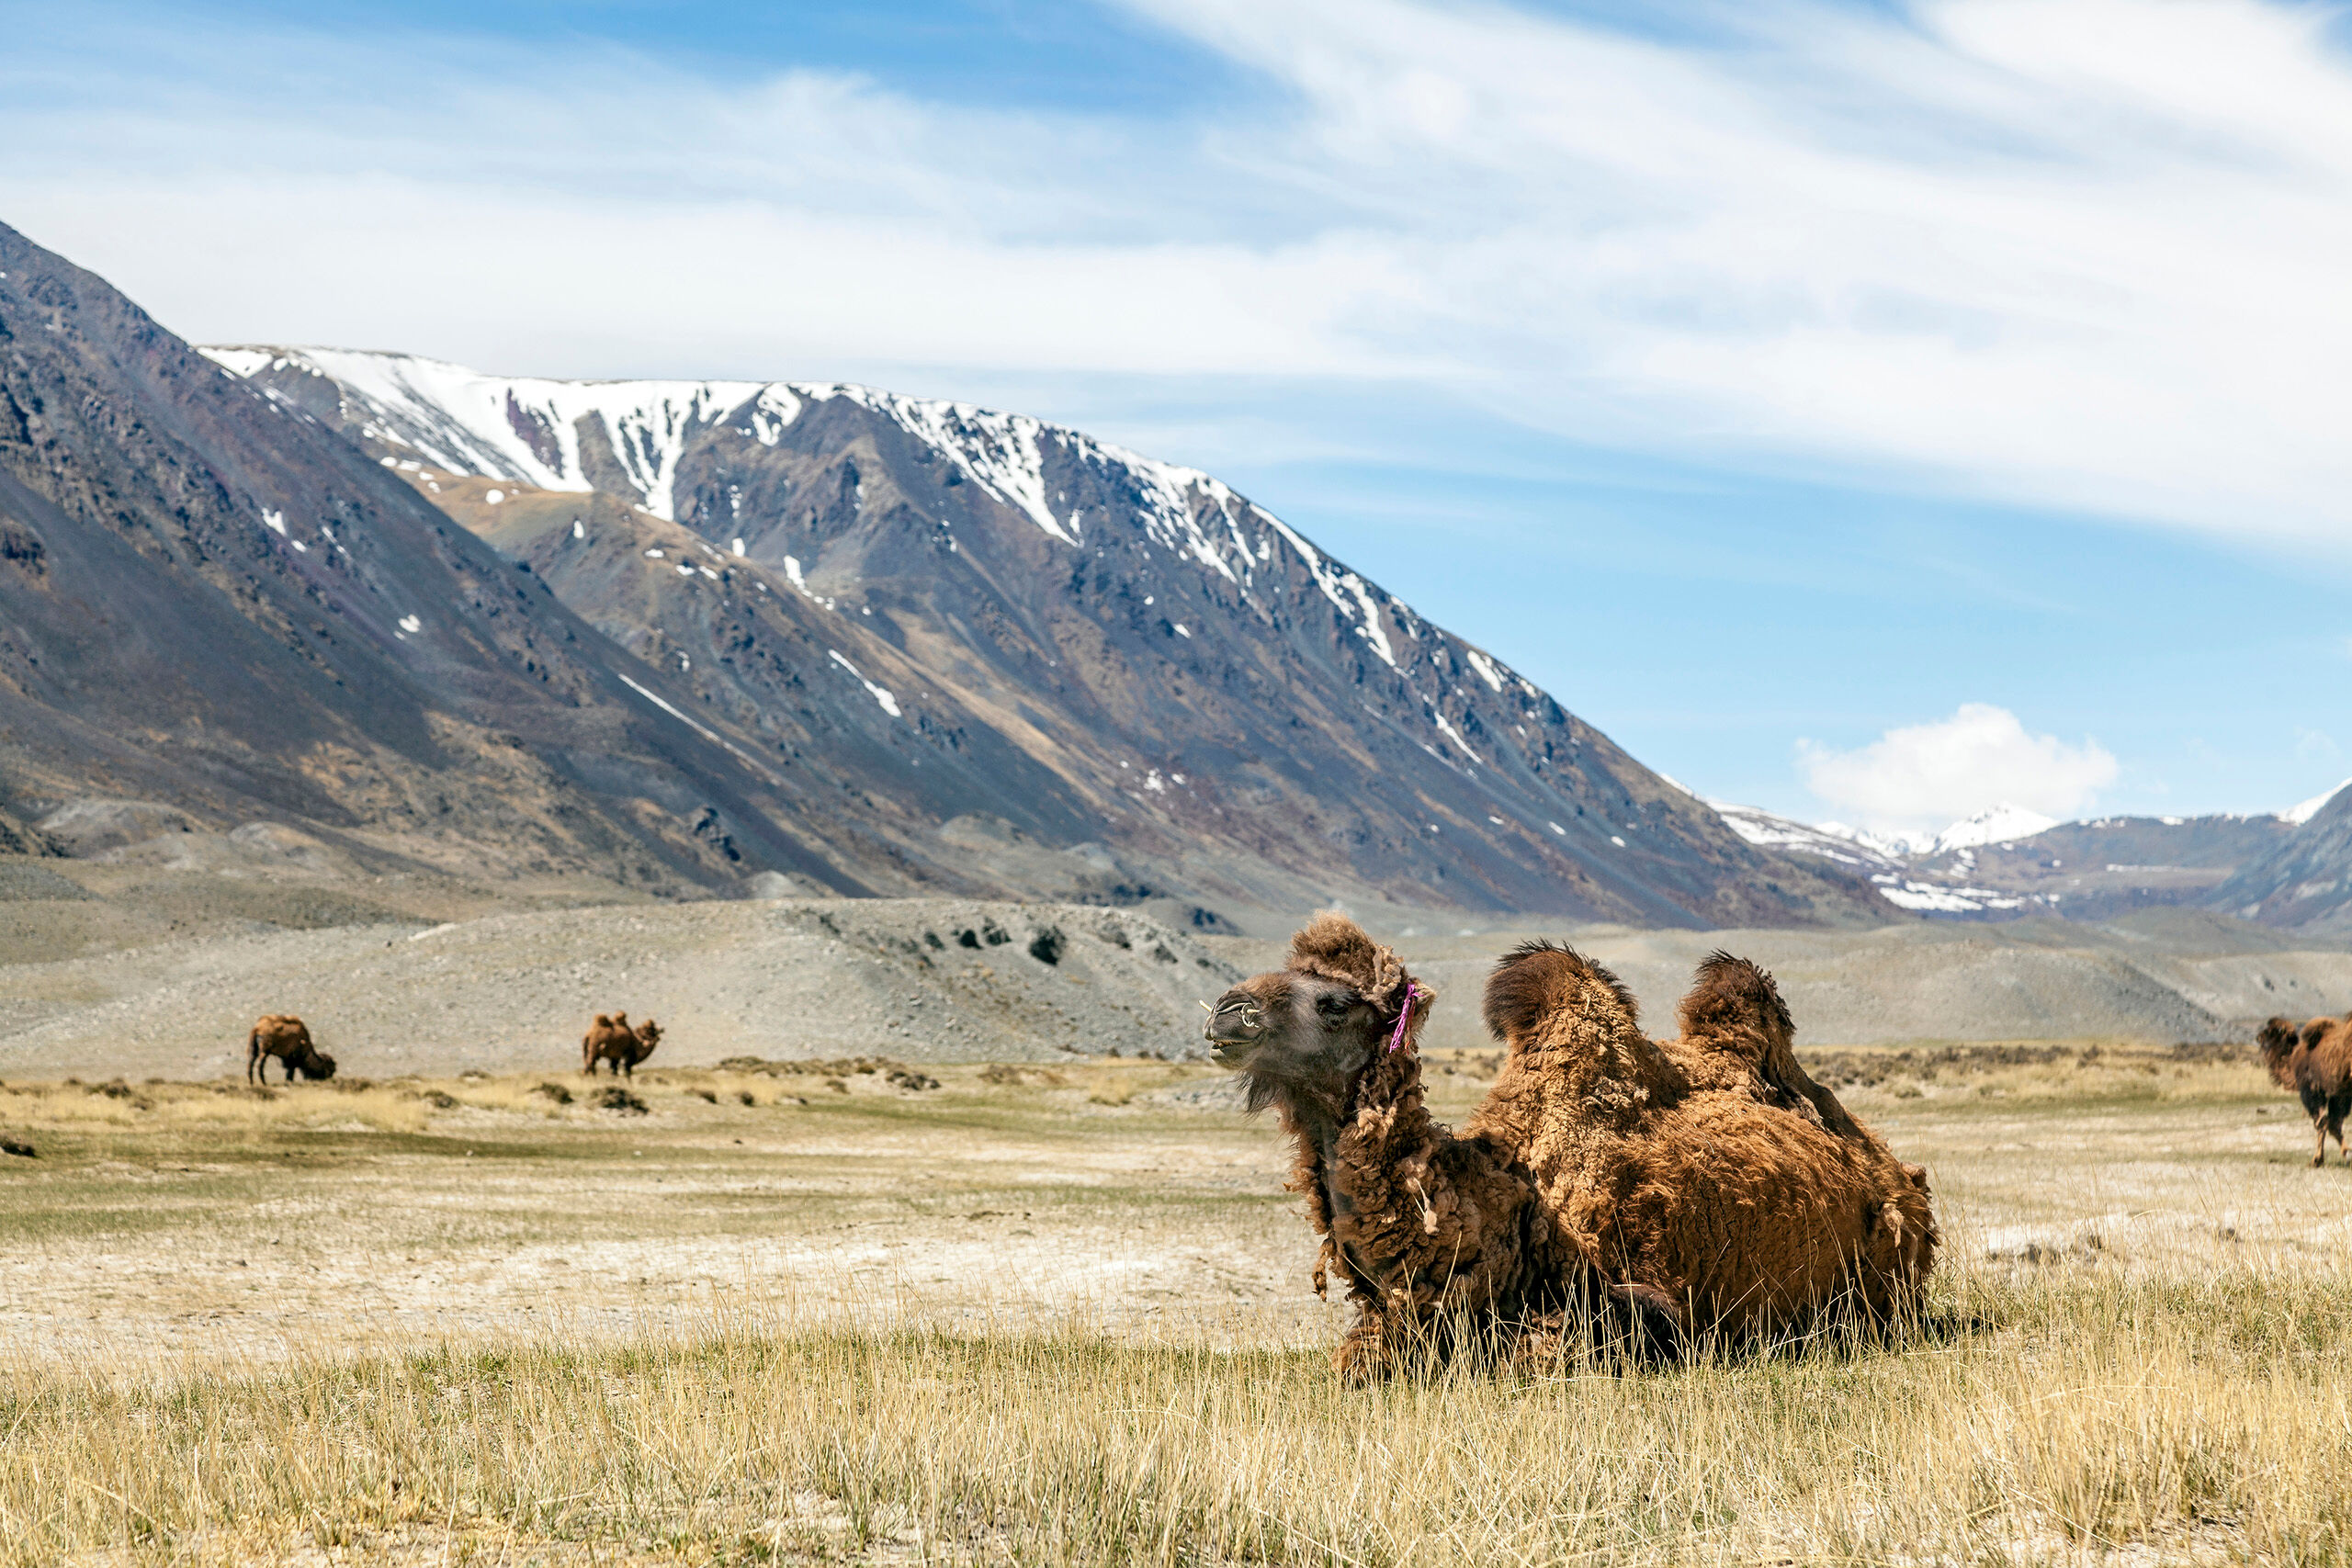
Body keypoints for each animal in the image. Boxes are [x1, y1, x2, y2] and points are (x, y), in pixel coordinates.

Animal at [1206, 915, 1934, 1380]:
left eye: (1333, 1002)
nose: (1227, 1011)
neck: (1505, 1210)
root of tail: (1896, 1173)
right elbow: (1359, 1359)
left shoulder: (1639, 1304)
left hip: (1885, 1280)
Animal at [2258, 1014, 2352, 1166]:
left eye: (2270, 1032)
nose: (2258, 1037)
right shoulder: (2340, 1093)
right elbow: (2333, 1123)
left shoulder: (2310, 1090)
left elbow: (2322, 1122)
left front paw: (2317, 1160)